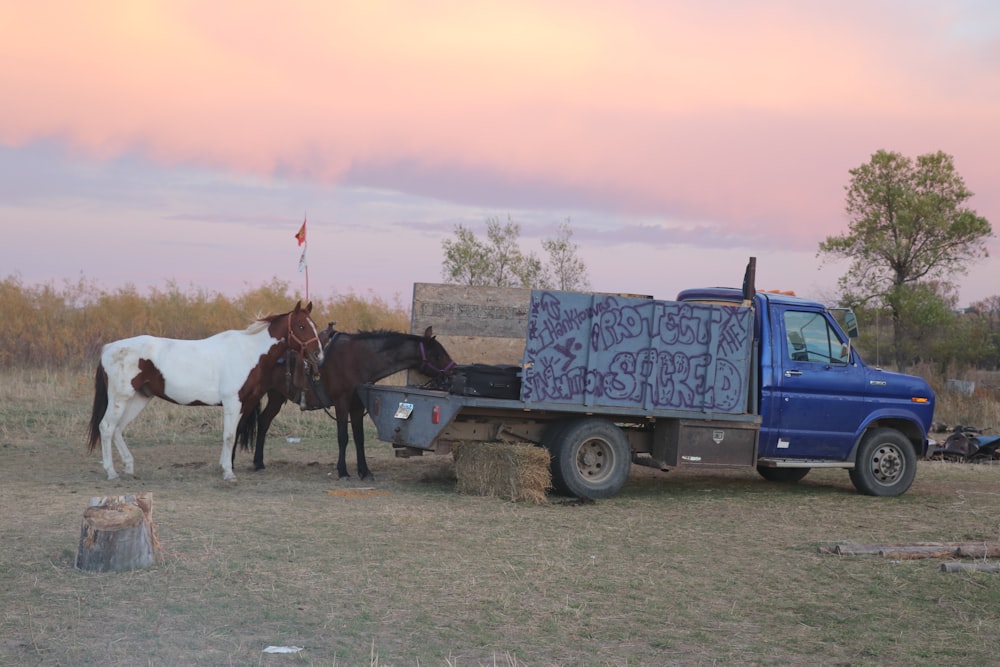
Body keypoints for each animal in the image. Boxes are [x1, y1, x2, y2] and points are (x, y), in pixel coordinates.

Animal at [88, 302, 324, 480]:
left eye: (313, 325)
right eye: (301, 326)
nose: (318, 355)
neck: (248, 353)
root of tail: (108, 348)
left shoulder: (244, 404)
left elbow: (234, 433)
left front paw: (225, 466)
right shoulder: (232, 402)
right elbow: (229, 435)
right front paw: (228, 473)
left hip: (138, 398)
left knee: (118, 429)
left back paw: (128, 467)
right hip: (121, 398)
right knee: (107, 427)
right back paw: (111, 472)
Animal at [234, 324, 454, 478]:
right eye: (437, 354)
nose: (453, 371)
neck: (358, 358)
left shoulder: (356, 405)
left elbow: (359, 438)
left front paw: (365, 472)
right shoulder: (342, 402)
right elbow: (343, 437)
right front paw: (343, 471)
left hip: (276, 396)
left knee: (263, 423)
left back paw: (259, 463)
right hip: (252, 396)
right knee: (239, 425)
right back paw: (233, 462)